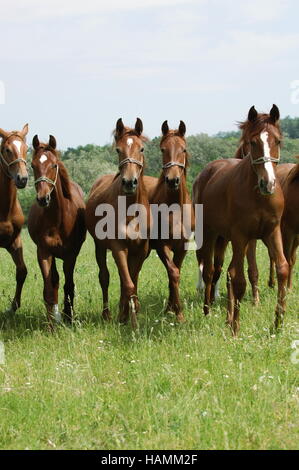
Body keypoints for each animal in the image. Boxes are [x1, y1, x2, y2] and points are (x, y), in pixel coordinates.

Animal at [27, 134, 85, 328]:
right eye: (33, 165)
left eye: (53, 165)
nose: (43, 198)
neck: (58, 219)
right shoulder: (44, 252)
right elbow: (49, 288)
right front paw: (51, 324)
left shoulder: (70, 255)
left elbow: (69, 285)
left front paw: (69, 317)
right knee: (54, 281)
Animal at [86, 119, 152, 328]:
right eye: (118, 149)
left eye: (141, 148)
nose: (129, 182)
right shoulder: (118, 247)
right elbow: (128, 284)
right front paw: (131, 321)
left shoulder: (140, 250)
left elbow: (131, 282)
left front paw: (128, 314)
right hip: (99, 247)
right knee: (104, 278)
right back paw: (107, 314)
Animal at [144, 119, 196, 322]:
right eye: (162, 149)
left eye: (183, 149)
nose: (172, 180)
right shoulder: (161, 246)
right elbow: (173, 273)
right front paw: (177, 311)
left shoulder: (183, 246)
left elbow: (176, 272)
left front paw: (173, 310)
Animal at [193, 105, 290, 334]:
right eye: (252, 142)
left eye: (277, 141)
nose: (268, 183)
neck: (258, 196)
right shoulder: (241, 236)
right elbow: (238, 281)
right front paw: (236, 328)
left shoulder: (271, 232)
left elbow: (282, 269)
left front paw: (278, 321)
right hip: (209, 234)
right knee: (210, 272)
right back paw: (207, 311)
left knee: (224, 271)